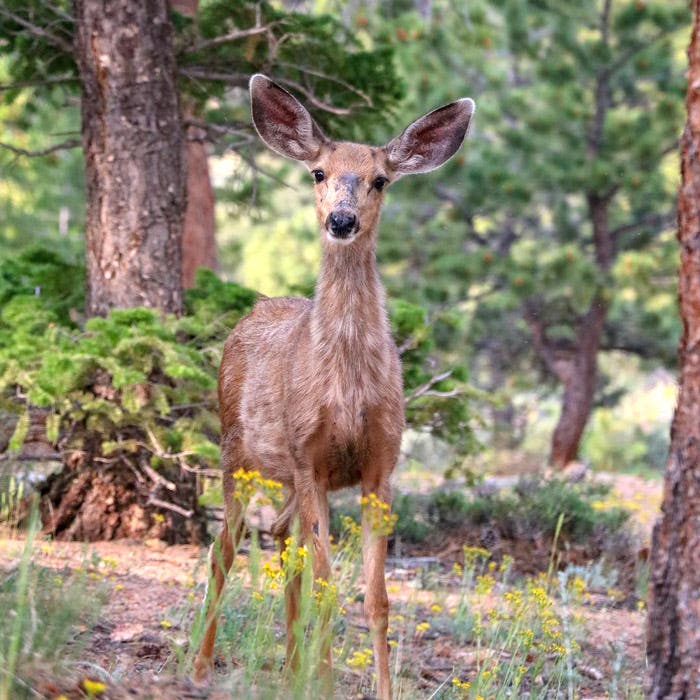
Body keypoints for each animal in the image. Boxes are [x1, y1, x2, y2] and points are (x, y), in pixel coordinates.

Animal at [192, 74, 474, 699]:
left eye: (380, 179)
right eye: (319, 173)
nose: (341, 220)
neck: (346, 392)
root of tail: (257, 308)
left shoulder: (379, 465)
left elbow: (377, 599)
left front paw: (372, 687)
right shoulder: (310, 457)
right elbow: (326, 584)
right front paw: (322, 681)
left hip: (284, 477)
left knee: (280, 541)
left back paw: (289, 667)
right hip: (236, 454)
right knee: (224, 547)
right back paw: (200, 665)